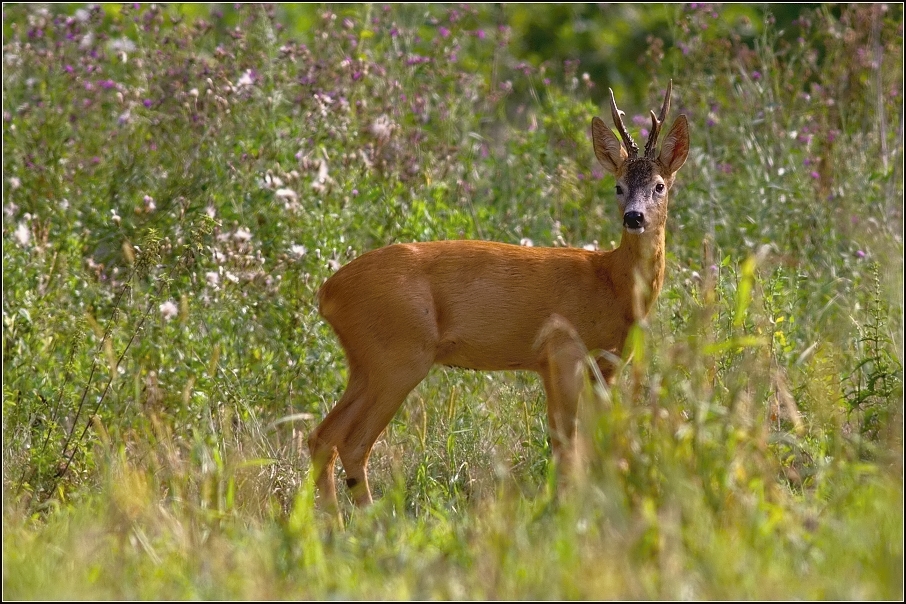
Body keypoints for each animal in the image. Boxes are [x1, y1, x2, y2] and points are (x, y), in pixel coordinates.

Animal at [308, 80, 688, 516]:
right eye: (618, 186)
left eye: (659, 185)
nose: (633, 217)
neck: (612, 284)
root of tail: (328, 291)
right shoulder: (562, 350)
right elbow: (566, 442)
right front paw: (566, 512)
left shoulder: (603, 363)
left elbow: (599, 441)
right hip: (398, 355)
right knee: (352, 441)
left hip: (365, 362)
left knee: (322, 436)